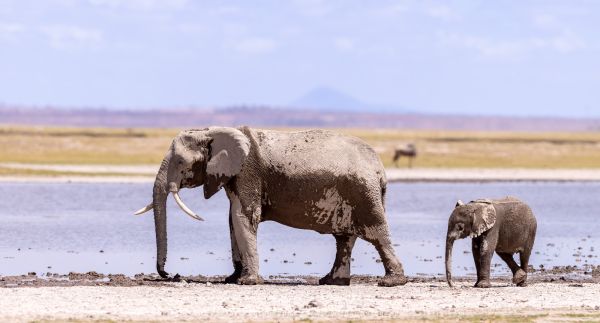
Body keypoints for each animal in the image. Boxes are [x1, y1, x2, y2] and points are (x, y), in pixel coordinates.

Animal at [135, 126, 408, 286]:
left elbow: (243, 217)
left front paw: (247, 282)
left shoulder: (247, 172)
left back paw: (391, 282)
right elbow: (232, 219)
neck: (212, 131)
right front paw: (232, 279)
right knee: (344, 238)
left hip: (363, 192)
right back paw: (331, 281)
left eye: (181, 162)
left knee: (376, 233)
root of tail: (380, 168)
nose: (170, 274)